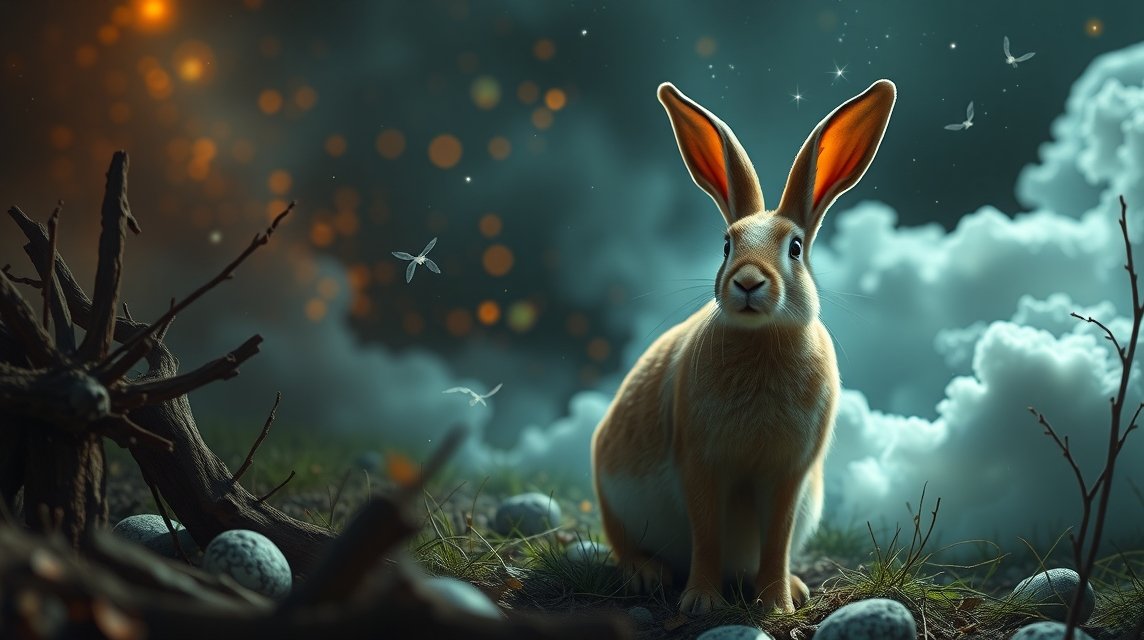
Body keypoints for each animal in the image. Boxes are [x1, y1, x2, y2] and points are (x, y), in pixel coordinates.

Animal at [590, 78, 895, 615]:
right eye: (726, 244)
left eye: (795, 248)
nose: (749, 282)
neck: (762, 339)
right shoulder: (701, 461)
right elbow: (707, 533)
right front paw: (701, 603)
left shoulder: (789, 473)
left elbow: (777, 537)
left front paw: (776, 604)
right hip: (614, 494)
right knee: (625, 542)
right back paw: (645, 574)